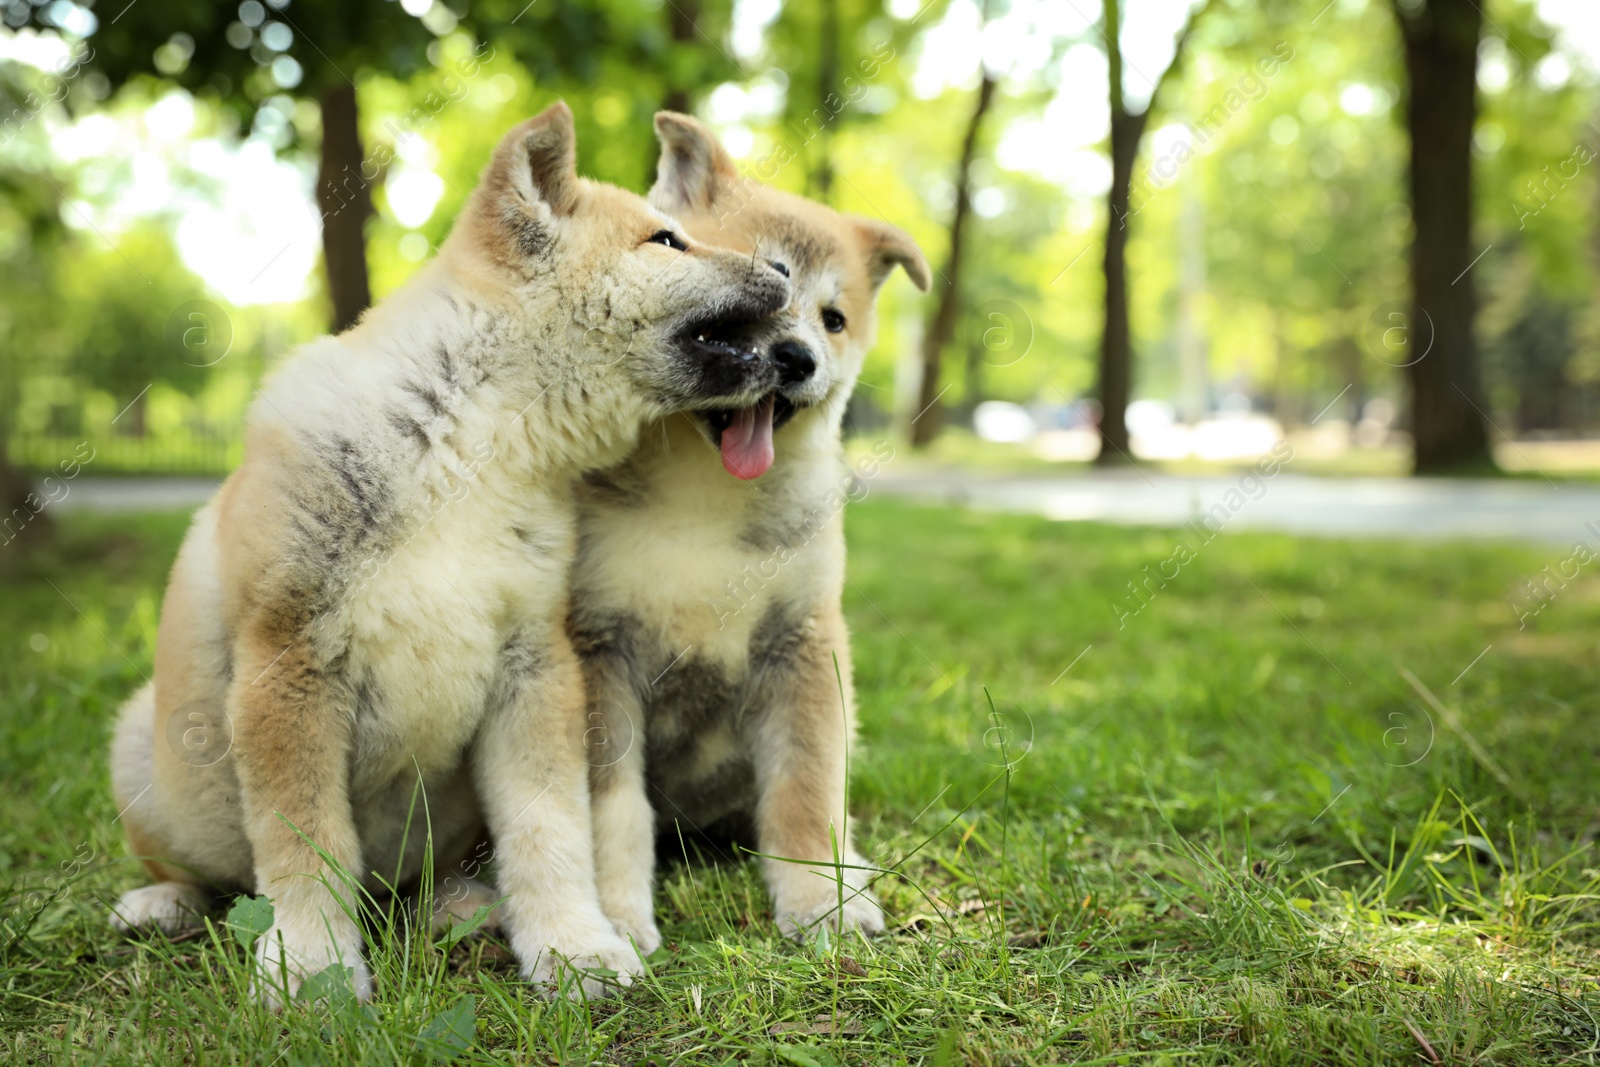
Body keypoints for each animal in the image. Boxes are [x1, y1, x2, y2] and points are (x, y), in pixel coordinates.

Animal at [103, 102, 790, 1004]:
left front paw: (572, 947)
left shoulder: (535, 663)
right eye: (666, 241)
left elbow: (549, 830)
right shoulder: (288, 665)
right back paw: (162, 902)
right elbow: (304, 846)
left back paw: (455, 902)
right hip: (147, 746)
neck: (469, 438)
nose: (781, 268)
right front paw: (314, 968)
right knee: (207, 871)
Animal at [569, 116, 934, 953]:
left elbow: (804, 790)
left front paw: (820, 900)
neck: (710, 495)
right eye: (764, 285)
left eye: (835, 318)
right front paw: (616, 913)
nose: (798, 358)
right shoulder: (600, 649)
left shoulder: (801, 643)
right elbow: (611, 809)